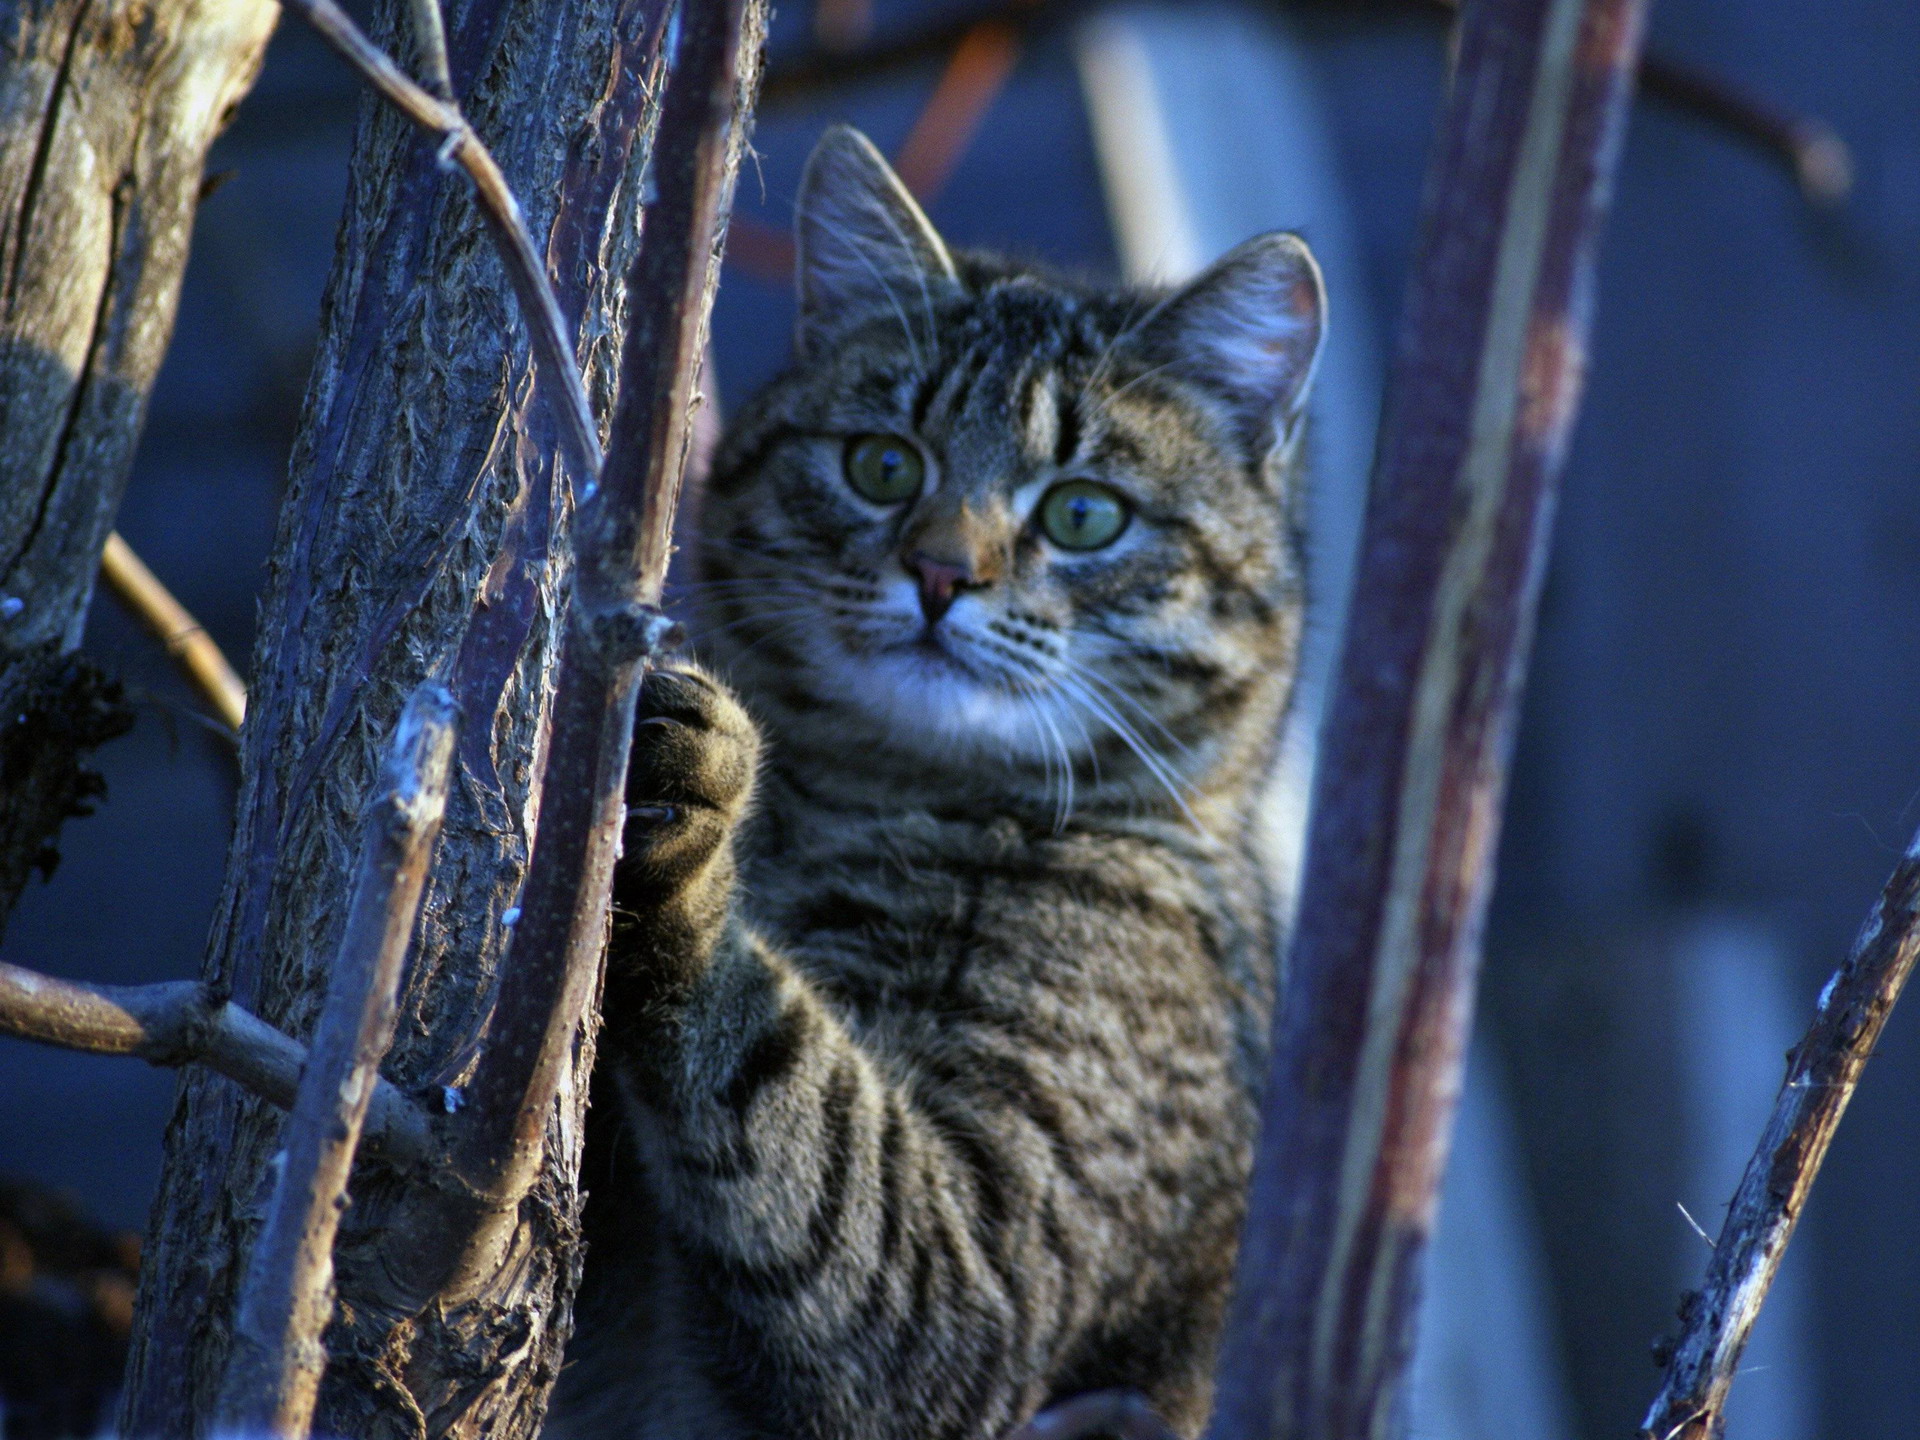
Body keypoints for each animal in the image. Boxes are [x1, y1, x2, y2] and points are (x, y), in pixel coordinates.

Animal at [560, 126, 1320, 1440]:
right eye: (880, 464)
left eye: (1084, 514)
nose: (939, 572)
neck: (867, 800)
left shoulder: (978, 1260)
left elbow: (790, 1094)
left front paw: (693, 831)